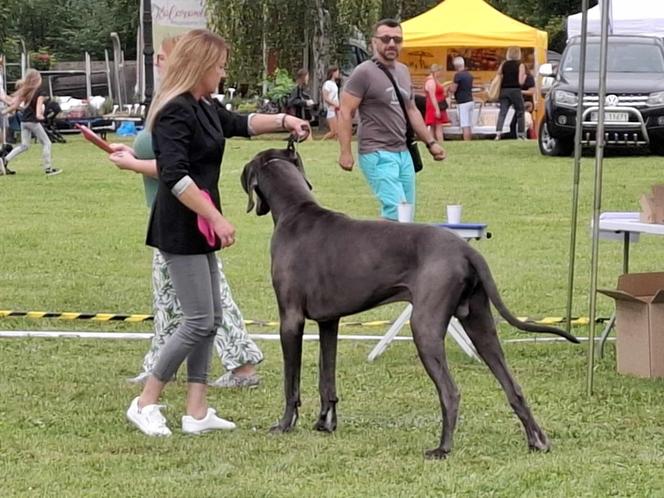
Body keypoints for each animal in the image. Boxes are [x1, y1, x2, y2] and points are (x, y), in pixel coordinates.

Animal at [241, 145, 580, 460]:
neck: (296, 211)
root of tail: (467, 251)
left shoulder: (291, 319)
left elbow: (291, 382)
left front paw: (285, 424)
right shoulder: (329, 321)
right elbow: (328, 379)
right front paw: (326, 423)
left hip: (424, 326)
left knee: (450, 392)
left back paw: (443, 448)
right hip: (480, 325)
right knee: (514, 386)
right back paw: (537, 440)